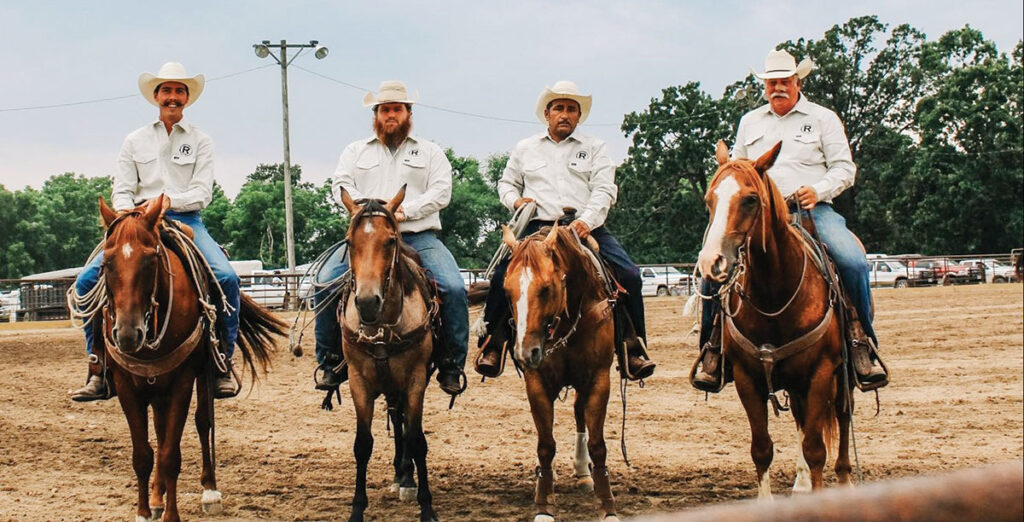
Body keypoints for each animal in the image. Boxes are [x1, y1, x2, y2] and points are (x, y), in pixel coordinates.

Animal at [94, 196, 284, 522]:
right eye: (106, 263)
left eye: (151, 260)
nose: (128, 334)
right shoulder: (127, 385)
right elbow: (143, 454)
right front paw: (144, 512)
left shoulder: (182, 381)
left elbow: (171, 453)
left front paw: (172, 515)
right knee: (160, 433)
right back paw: (157, 498)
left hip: (200, 375)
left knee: (202, 422)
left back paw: (209, 491)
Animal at [339, 186, 440, 522]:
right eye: (349, 241)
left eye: (391, 241)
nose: (367, 303)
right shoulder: (358, 381)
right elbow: (362, 444)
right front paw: (357, 509)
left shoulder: (416, 380)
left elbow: (417, 439)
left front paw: (427, 507)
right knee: (396, 419)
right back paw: (401, 475)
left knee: (404, 423)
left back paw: (406, 478)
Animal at [501, 223, 618, 522]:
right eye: (506, 291)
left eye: (546, 288)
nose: (525, 352)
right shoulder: (537, 383)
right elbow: (546, 445)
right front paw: (544, 505)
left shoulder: (599, 380)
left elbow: (598, 445)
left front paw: (607, 506)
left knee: (579, 414)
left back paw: (583, 471)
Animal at [696, 141, 856, 497]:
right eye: (709, 200)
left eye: (750, 199)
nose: (711, 262)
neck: (774, 295)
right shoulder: (748, 378)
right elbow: (762, 449)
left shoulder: (821, 372)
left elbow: (815, 449)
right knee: (800, 420)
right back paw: (801, 482)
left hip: (841, 376)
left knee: (842, 416)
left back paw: (844, 478)